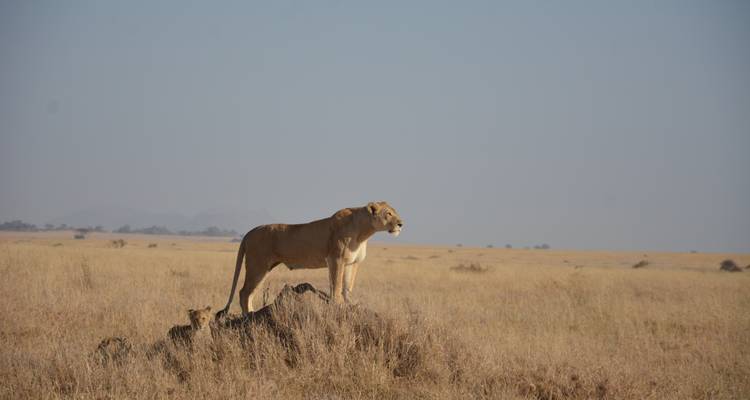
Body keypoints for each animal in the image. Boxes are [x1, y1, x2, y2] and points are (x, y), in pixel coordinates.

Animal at [217, 201, 403, 316]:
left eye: (395, 213)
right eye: (388, 213)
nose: (401, 224)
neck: (364, 233)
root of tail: (249, 232)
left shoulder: (352, 263)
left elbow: (347, 286)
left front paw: (350, 304)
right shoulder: (335, 259)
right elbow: (336, 285)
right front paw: (338, 304)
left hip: (264, 268)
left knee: (249, 292)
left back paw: (251, 312)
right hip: (257, 265)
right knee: (243, 292)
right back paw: (248, 315)